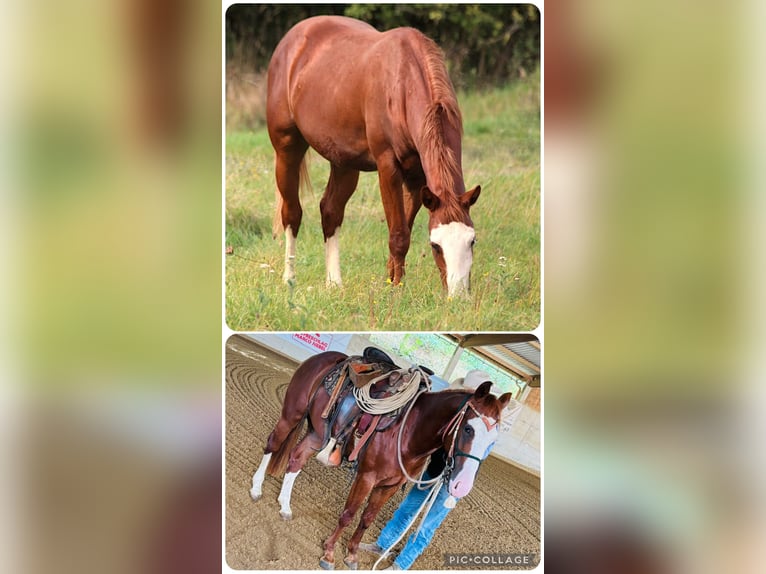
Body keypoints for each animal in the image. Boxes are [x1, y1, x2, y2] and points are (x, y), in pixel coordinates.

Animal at [249, 351, 512, 569]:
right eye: (468, 429)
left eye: (494, 439)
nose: (461, 485)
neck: (409, 433)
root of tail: (323, 357)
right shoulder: (366, 477)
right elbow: (349, 514)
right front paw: (329, 554)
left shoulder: (389, 485)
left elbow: (367, 519)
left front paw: (352, 554)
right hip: (292, 414)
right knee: (272, 444)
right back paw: (256, 489)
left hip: (317, 433)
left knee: (295, 459)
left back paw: (285, 506)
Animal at [267, 16, 481, 297]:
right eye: (436, 245)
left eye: (472, 241)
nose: (459, 296)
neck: (403, 83)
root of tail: (292, 40)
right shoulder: (388, 167)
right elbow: (399, 234)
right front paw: (395, 290)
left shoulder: (417, 178)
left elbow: (403, 229)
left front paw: (391, 279)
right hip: (287, 149)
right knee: (292, 213)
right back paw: (289, 279)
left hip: (343, 162)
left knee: (330, 211)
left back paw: (334, 283)